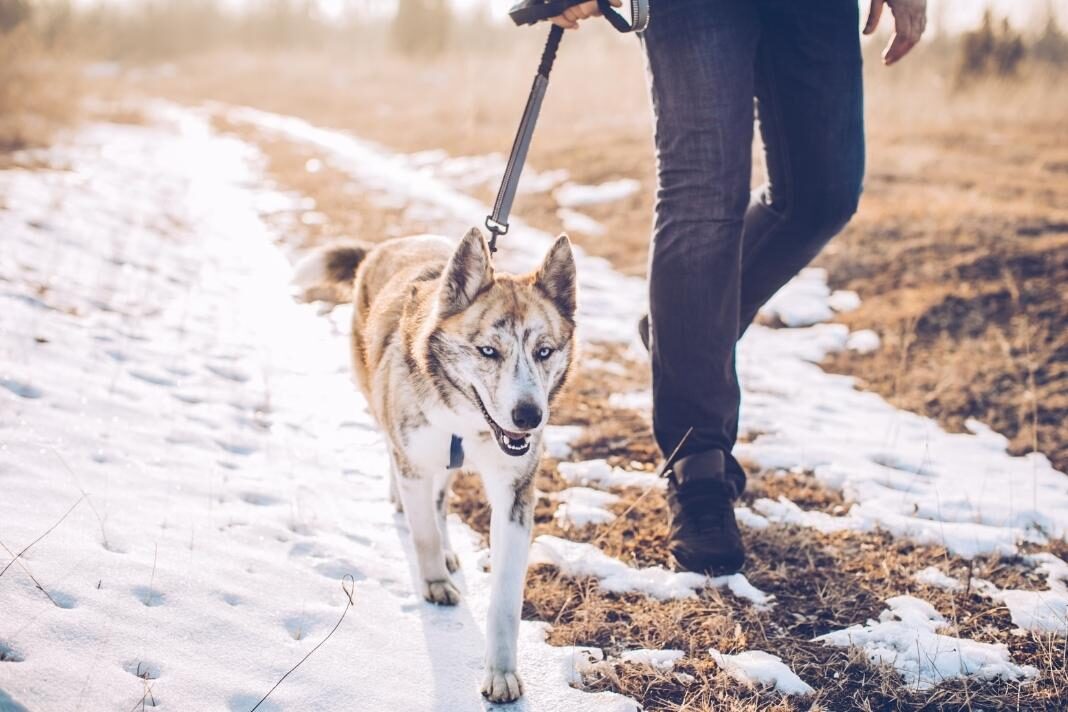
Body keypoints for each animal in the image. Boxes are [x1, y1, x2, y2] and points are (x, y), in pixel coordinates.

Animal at [294, 229, 576, 700]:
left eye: (544, 351)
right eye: (487, 351)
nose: (529, 417)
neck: (466, 422)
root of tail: (389, 244)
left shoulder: (515, 495)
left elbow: (504, 598)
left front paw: (501, 672)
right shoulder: (416, 462)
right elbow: (422, 529)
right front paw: (434, 582)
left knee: (441, 500)